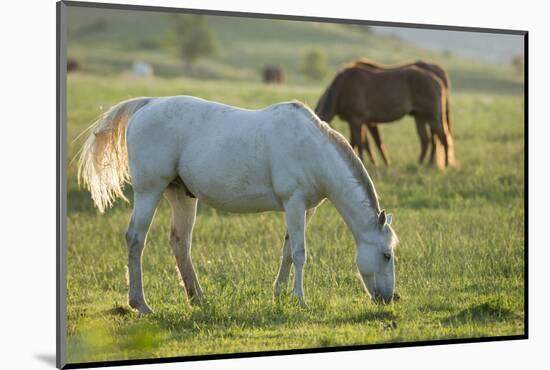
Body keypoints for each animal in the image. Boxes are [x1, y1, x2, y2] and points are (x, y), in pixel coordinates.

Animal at [77, 96, 402, 316]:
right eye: (386, 255)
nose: (390, 298)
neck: (311, 148)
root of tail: (148, 104)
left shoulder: (304, 209)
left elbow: (287, 251)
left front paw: (279, 295)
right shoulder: (294, 203)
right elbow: (300, 253)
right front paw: (299, 299)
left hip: (181, 196)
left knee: (180, 243)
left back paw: (197, 299)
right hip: (149, 191)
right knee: (135, 239)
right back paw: (141, 304)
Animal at [316, 64, 454, 168]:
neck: (342, 88)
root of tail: (438, 80)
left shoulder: (357, 120)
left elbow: (359, 143)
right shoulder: (356, 122)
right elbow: (355, 143)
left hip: (432, 117)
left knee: (443, 137)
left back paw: (446, 164)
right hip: (420, 117)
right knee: (426, 140)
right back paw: (421, 164)